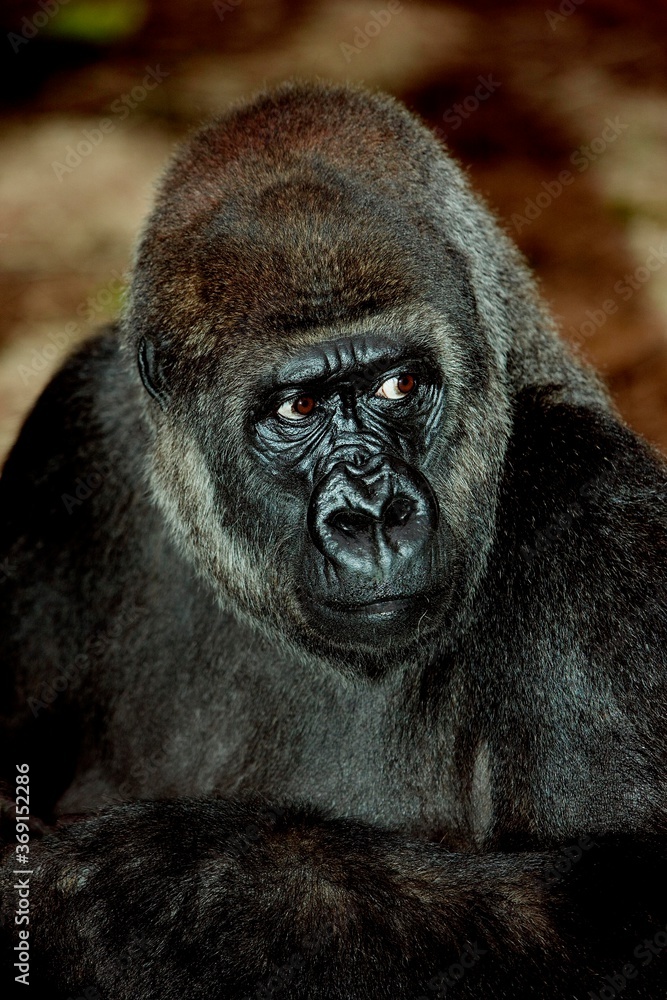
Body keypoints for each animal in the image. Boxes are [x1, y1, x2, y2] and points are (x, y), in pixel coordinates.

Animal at [1, 80, 667, 999]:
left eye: (398, 386)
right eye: (300, 407)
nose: (372, 517)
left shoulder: (596, 509)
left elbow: (626, 903)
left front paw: (150, 884)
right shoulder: (69, 439)